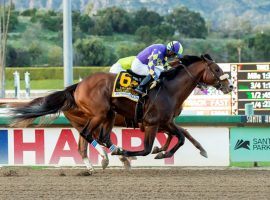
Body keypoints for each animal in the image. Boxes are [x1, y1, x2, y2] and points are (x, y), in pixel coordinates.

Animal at [9, 54, 231, 161]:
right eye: (217, 69)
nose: (229, 86)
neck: (169, 89)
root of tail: (77, 86)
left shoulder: (165, 122)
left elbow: (182, 135)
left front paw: (165, 151)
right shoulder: (151, 123)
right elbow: (147, 149)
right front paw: (156, 151)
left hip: (106, 115)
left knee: (97, 139)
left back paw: (110, 154)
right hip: (98, 114)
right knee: (89, 136)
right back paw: (108, 156)